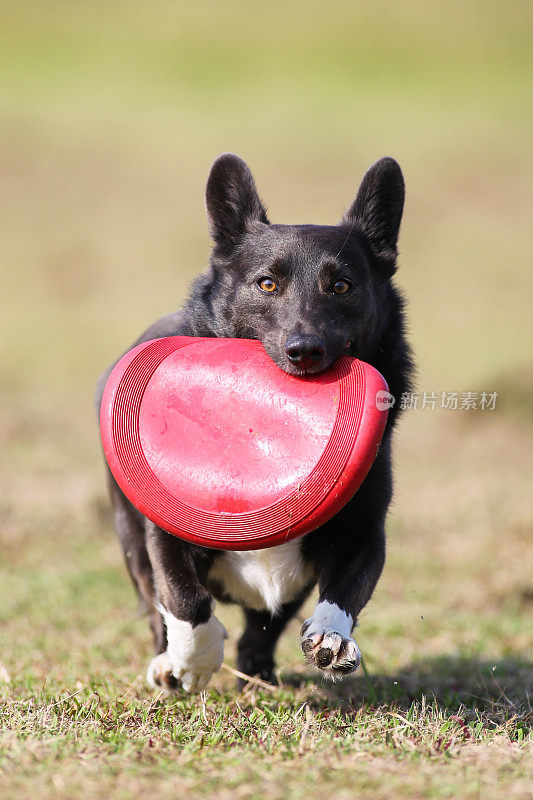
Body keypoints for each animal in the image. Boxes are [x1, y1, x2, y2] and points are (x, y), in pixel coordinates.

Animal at [94, 153, 412, 692]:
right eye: (267, 284)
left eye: (341, 286)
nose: (304, 351)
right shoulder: (165, 530)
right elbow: (182, 596)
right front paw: (195, 661)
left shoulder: (364, 532)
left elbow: (346, 592)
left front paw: (331, 641)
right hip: (128, 536)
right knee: (157, 605)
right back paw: (166, 665)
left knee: (263, 626)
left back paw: (258, 672)